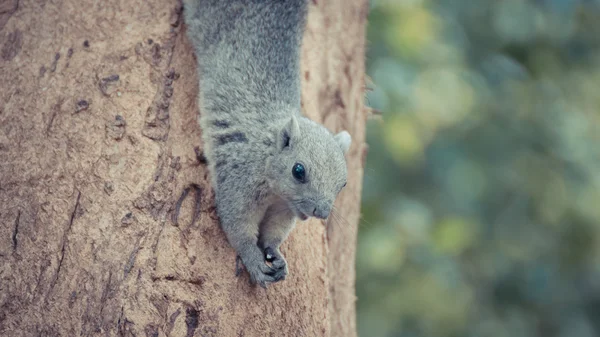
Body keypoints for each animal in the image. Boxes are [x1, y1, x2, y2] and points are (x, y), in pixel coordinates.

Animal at [184, 0, 352, 288]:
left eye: (343, 184)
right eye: (298, 171)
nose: (321, 212)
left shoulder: (284, 209)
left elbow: (273, 233)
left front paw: (275, 253)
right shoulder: (238, 177)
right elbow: (237, 225)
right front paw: (253, 259)